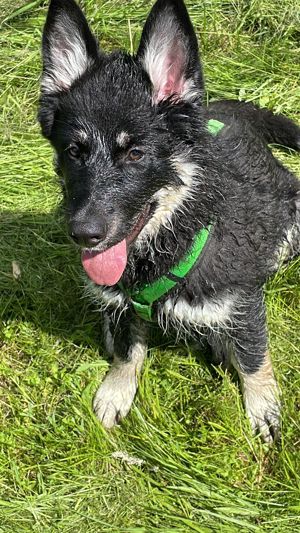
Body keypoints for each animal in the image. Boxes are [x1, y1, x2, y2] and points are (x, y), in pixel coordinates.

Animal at [39, 0, 300, 442]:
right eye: (74, 151)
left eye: (136, 153)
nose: (84, 235)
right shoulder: (124, 303)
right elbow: (127, 349)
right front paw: (117, 390)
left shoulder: (243, 301)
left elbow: (253, 356)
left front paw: (263, 406)